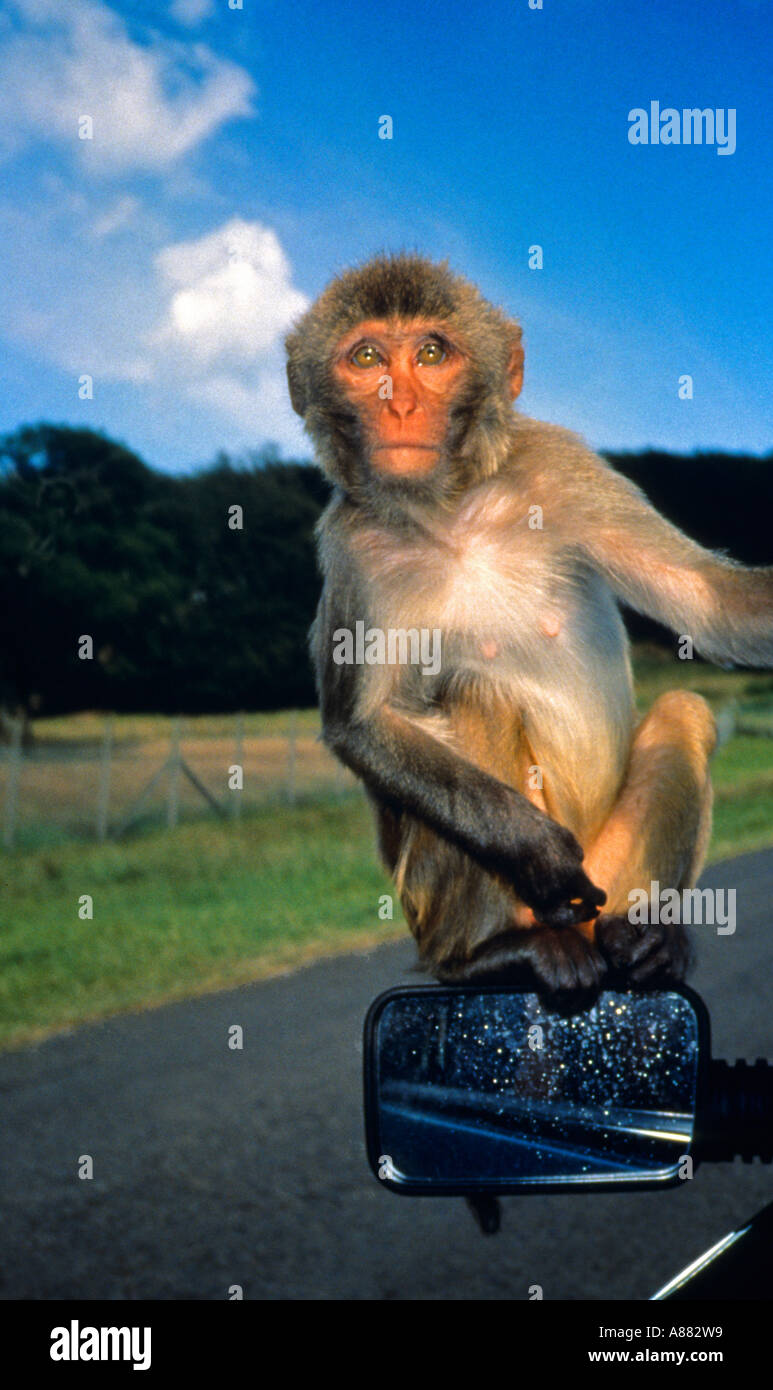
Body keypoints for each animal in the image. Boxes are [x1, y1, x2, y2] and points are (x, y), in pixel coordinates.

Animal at [283, 255, 773, 995]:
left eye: (431, 353)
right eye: (366, 357)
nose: (399, 405)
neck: (450, 512)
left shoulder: (560, 463)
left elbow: (708, 602)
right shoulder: (351, 549)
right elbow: (362, 726)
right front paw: (533, 850)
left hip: (611, 868)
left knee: (684, 712)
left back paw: (646, 940)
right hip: (455, 906)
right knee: (474, 694)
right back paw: (490, 955)